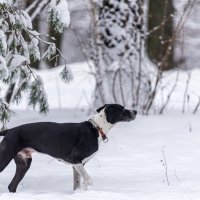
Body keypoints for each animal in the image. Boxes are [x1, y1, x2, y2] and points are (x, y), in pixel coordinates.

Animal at [0, 104, 137, 191]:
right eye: (123, 109)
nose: (135, 111)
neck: (96, 128)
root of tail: (10, 130)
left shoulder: (77, 165)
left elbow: (77, 184)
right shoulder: (75, 160)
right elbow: (88, 180)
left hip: (24, 165)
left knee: (11, 186)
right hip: (5, 159)